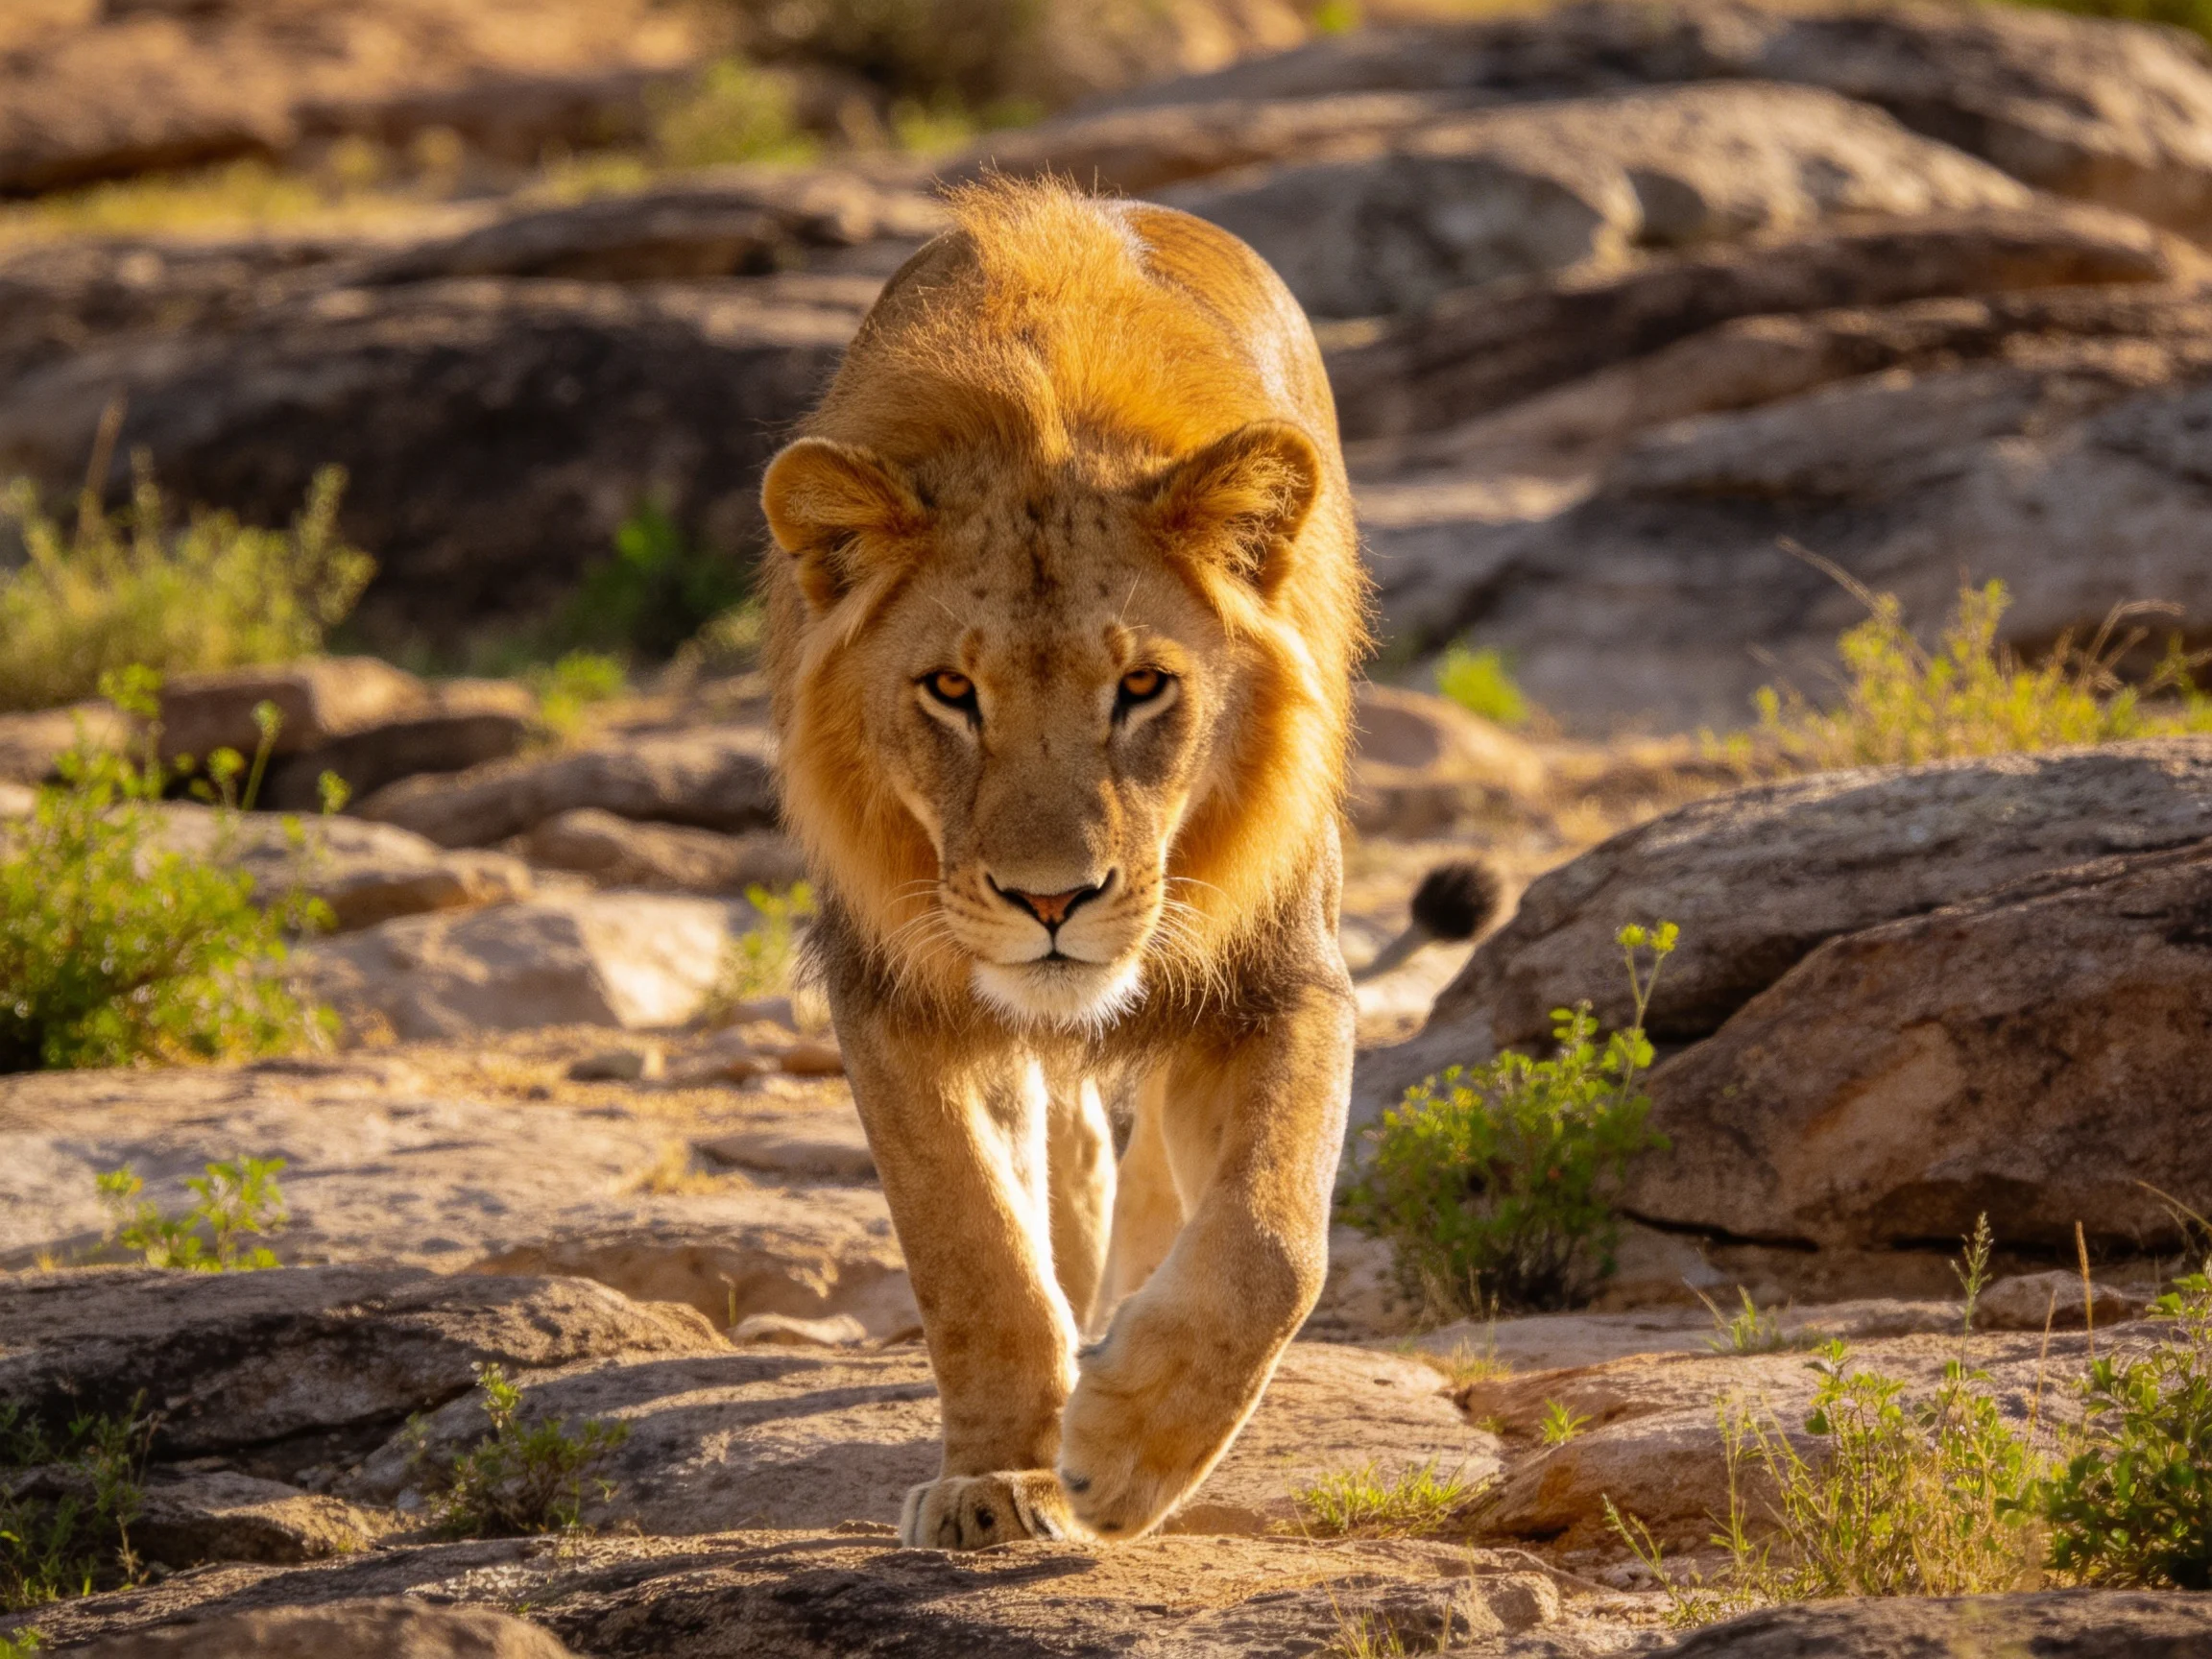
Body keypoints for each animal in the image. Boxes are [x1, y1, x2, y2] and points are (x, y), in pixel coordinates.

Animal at [758, 176, 1366, 1548]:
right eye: (949, 690)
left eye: (1142, 688)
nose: (1051, 901)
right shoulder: (890, 984)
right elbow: (972, 1251)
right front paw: (995, 1478)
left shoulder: (1285, 972)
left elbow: (1274, 1238)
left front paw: (1130, 1450)